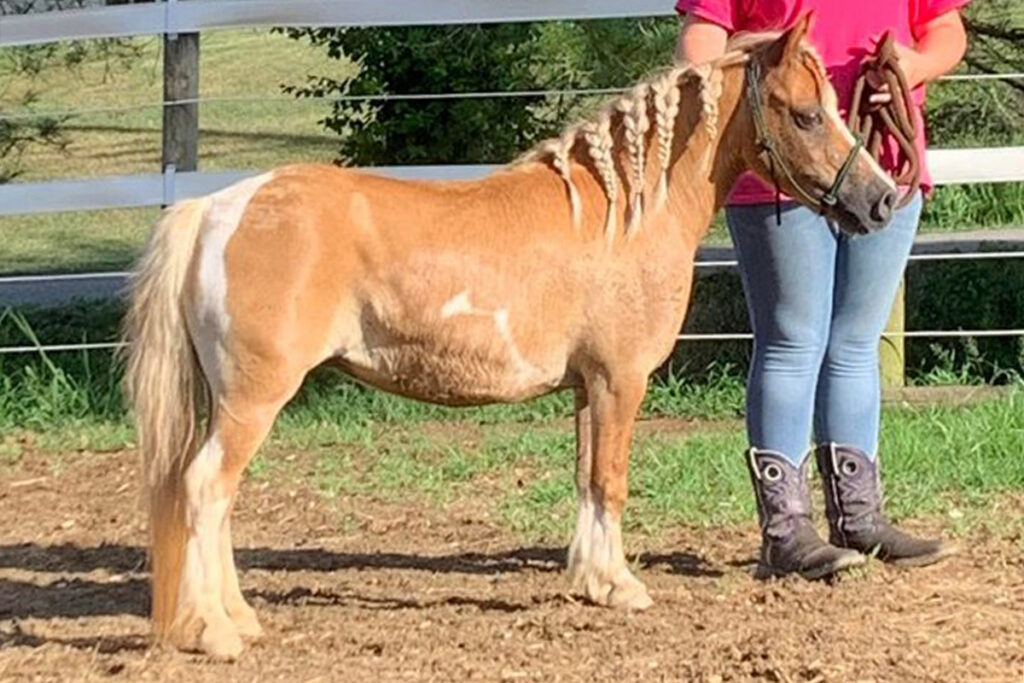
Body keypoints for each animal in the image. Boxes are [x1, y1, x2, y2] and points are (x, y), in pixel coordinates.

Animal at [125, 14, 897, 655]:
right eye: (807, 114)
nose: (882, 199)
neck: (624, 214)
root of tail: (218, 208)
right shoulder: (620, 381)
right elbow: (611, 480)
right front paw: (623, 587)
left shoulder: (588, 387)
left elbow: (586, 478)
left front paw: (592, 581)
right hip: (254, 398)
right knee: (205, 488)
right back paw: (218, 632)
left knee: (212, 497)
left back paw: (237, 616)